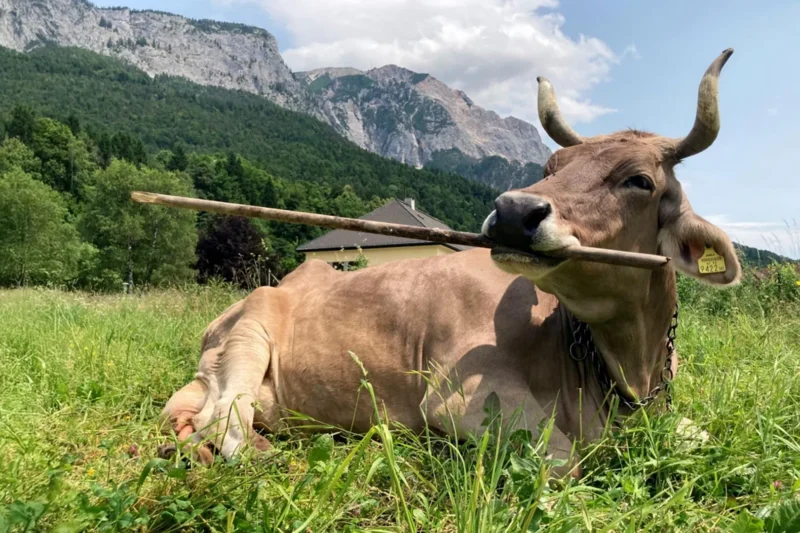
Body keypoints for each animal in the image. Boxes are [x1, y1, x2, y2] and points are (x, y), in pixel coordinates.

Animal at [160, 49, 740, 476]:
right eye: (551, 167)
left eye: (639, 180)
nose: (513, 211)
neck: (626, 372)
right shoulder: (460, 398)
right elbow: (564, 461)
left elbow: (707, 435)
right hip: (250, 333)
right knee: (224, 423)